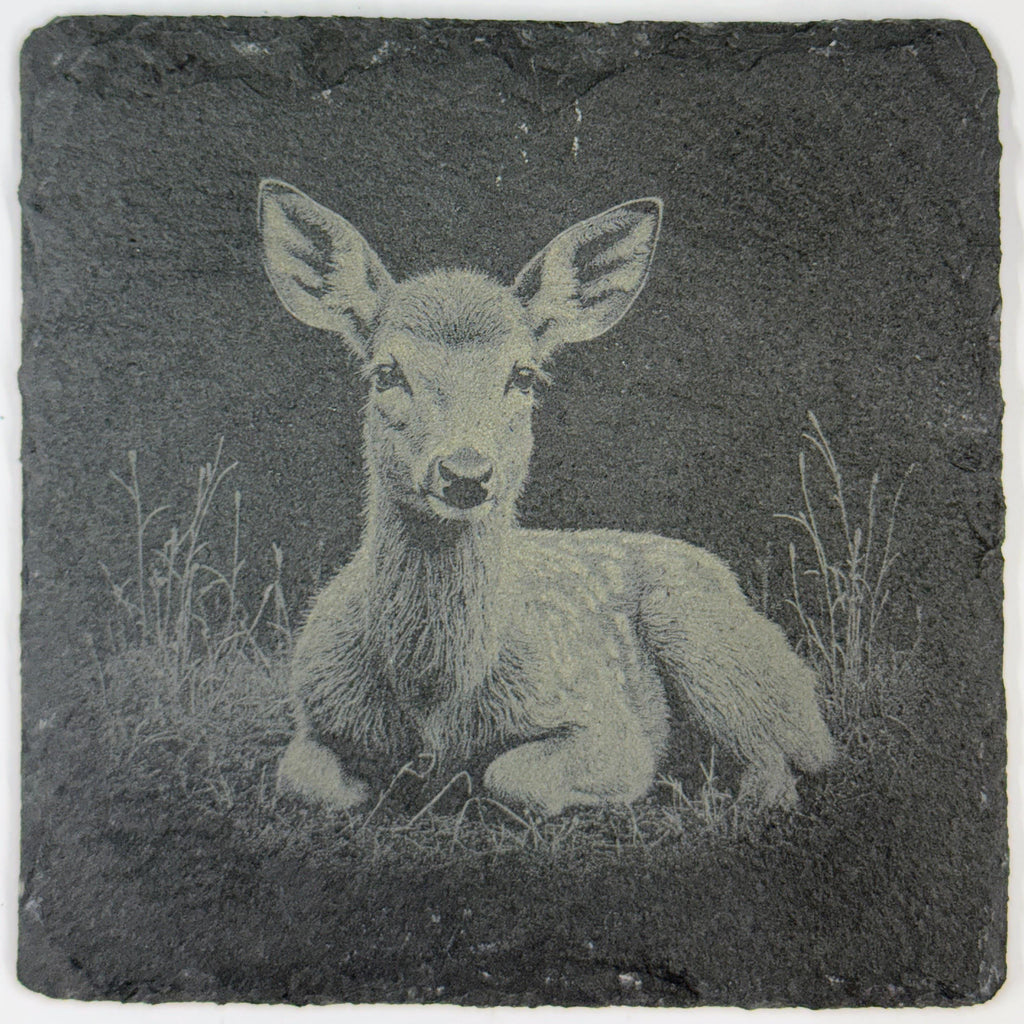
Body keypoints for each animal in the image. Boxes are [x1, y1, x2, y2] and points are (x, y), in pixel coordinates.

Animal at [258, 179, 835, 817]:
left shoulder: (608, 725)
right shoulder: (314, 710)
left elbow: (513, 777)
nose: (465, 472)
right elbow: (303, 780)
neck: (433, 701)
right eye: (386, 372)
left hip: (710, 641)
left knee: (795, 757)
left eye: (524, 375)